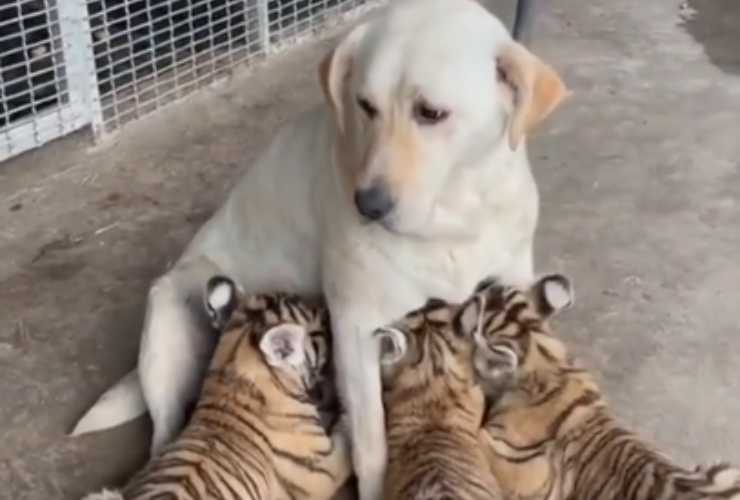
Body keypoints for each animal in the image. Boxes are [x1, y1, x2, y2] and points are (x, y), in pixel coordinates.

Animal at [72, 0, 568, 500]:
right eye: (365, 106)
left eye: (431, 112)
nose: (367, 205)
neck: (453, 218)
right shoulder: (358, 324)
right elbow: (371, 446)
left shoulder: (513, 279)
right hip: (167, 322)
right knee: (164, 433)